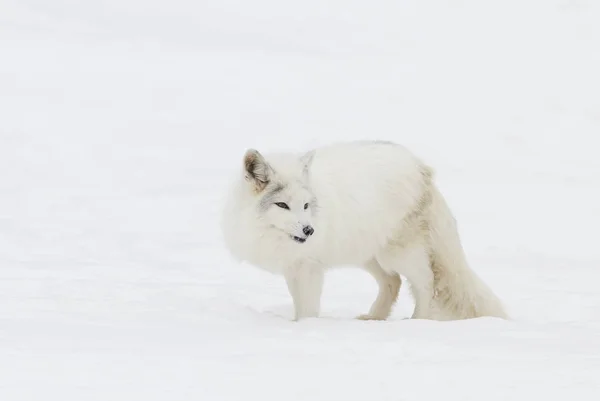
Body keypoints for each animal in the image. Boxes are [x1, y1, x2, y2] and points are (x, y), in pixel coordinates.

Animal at [220, 139, 506, 320]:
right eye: (282, 205)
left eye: (305, 205)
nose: (309, 230)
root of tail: (422, 167)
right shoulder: (294, 266)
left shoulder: (309, 268)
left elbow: (308, 309)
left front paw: (306, 328)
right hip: (368, 253)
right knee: (393, 282)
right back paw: (374, 318)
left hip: (399, 253)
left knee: (426, 282)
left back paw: (418, 321)